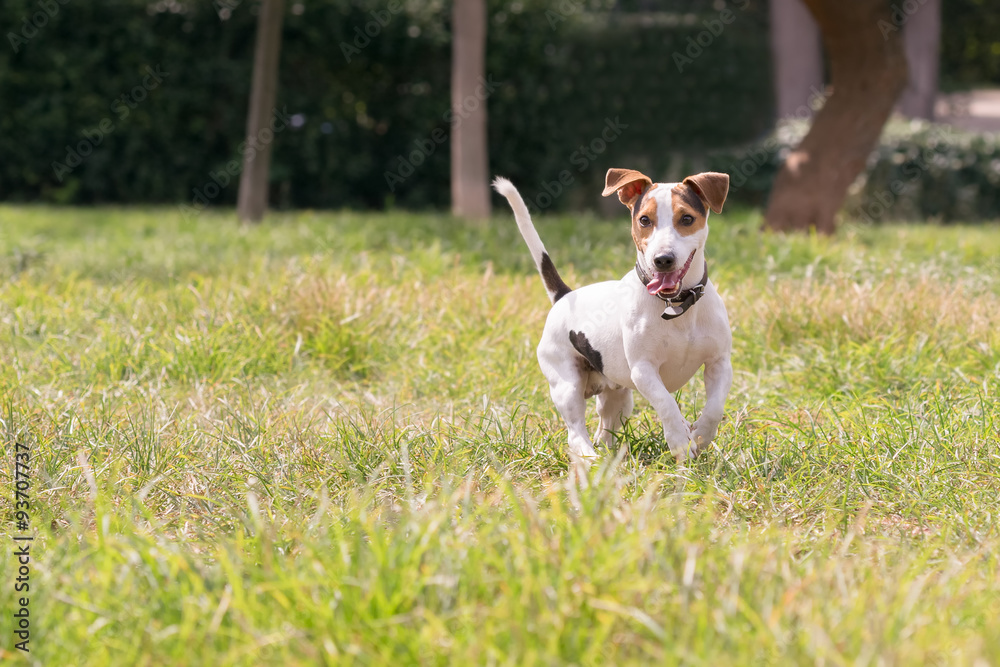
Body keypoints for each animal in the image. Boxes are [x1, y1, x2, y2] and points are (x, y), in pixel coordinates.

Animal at [494, 167, 736, 462]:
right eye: (644, 220)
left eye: (687, 218)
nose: (662, 259)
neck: (676, 306)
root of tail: (564, 296)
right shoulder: (643, 370)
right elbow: (667, 404)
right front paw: (680, 440)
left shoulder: (719, 363)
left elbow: (714, 409)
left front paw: (700, 434)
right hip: (566, 385)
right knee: (576, 432)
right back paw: (590, 459)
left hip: (617, 397)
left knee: (606, 429)